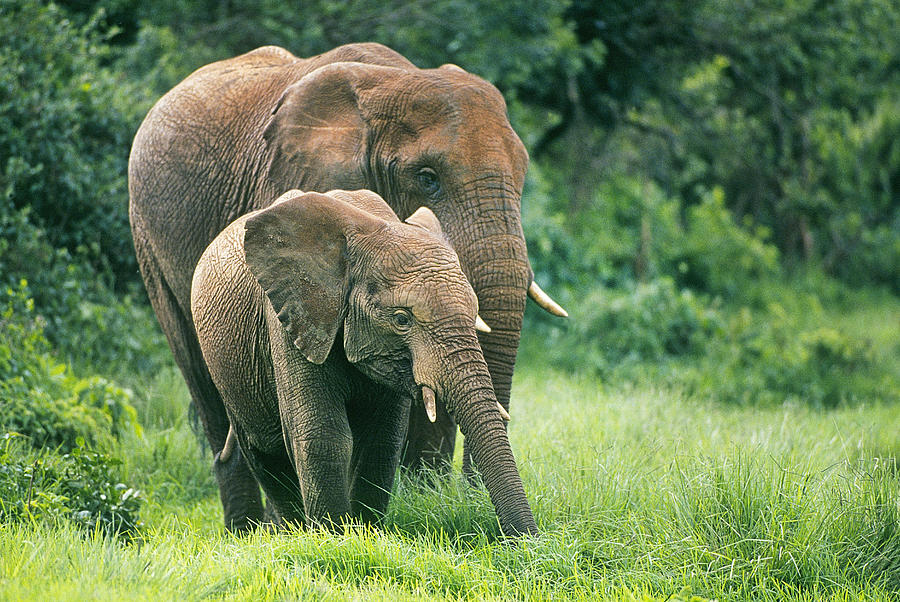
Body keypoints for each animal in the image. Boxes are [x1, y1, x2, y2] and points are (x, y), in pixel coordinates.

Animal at [189, 189, 536, 536]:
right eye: (402, 319)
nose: (527, 542)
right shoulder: (290, 320)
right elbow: (322, 435)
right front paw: (334, 537)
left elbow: (382, 439)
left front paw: (367, 534)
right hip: (228, 369)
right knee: (263, 452)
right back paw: (294, 531)